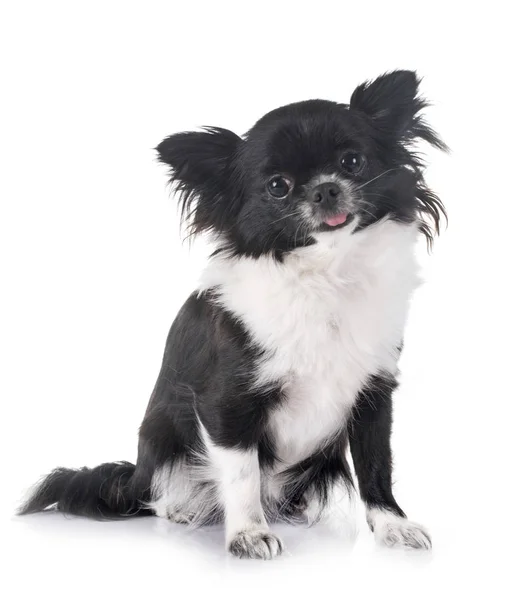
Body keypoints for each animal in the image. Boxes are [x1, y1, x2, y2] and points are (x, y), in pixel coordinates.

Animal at [20, 72, 444, 560]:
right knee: (162, 494)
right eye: (277, 186)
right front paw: (248, 533)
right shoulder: (228, 403)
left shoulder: (373, 396)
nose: (325, 188)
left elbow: (377, 466)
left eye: (352, 161)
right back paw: (184, 508)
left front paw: (393, 524)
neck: (325, 274)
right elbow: (243, 473)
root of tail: (133, 477)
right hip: (164, 447)